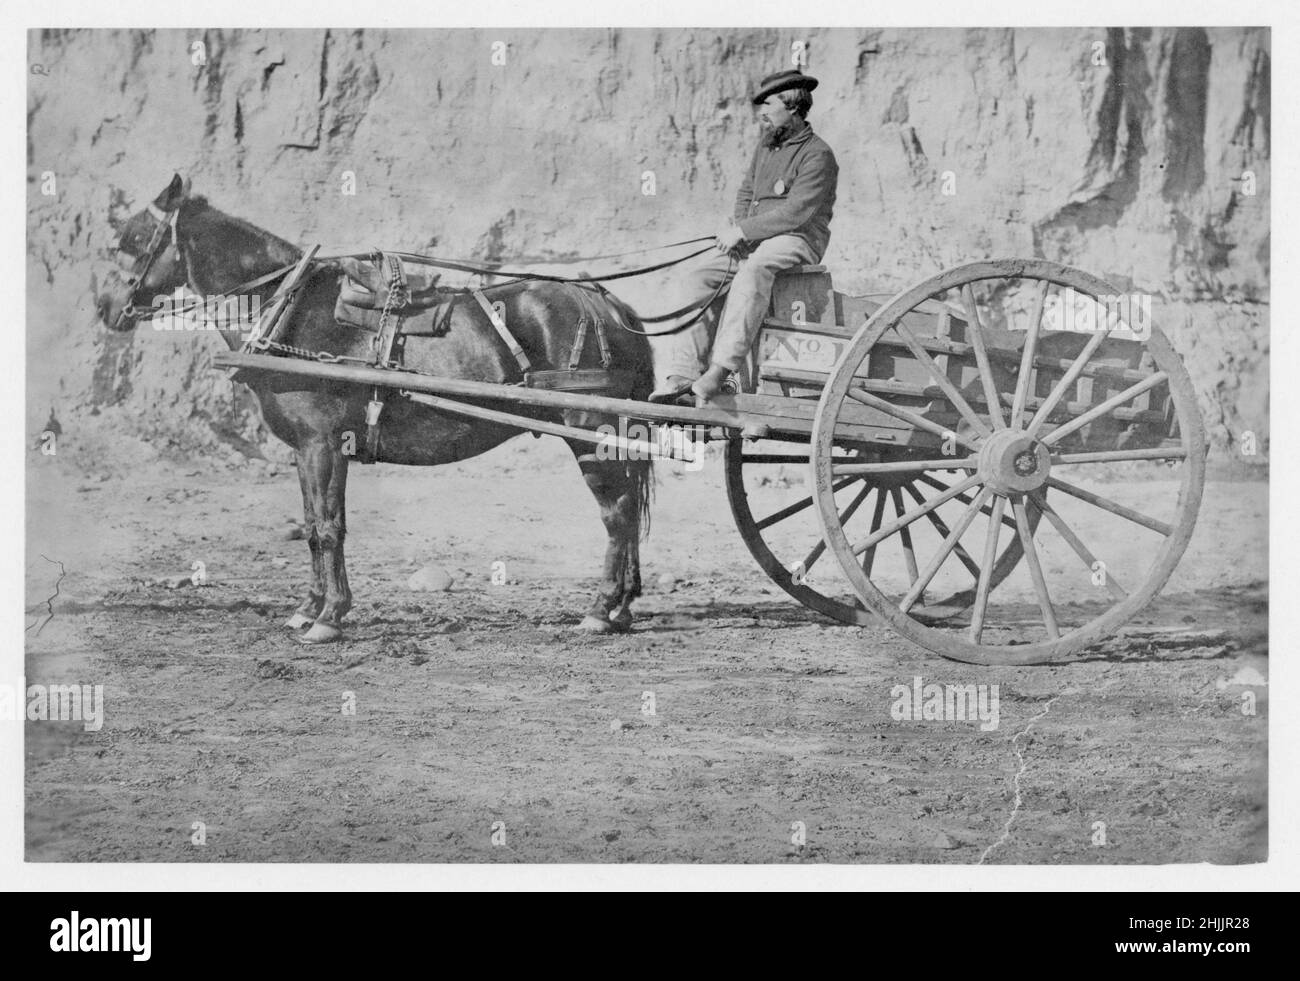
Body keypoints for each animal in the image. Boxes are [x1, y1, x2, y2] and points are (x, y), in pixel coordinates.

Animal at [94, 176, 655, 644]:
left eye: (134, 238)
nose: (105, 307)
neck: (290, 310)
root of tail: (609, 305)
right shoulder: (304, 450)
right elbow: (311, 525)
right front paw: (308, 607)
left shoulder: (323, 445)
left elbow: (328, 527)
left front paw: (328, 617)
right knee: (627, 510)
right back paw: (622, 606)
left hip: (589, 432)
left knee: (616, 512)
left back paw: (600, 609)